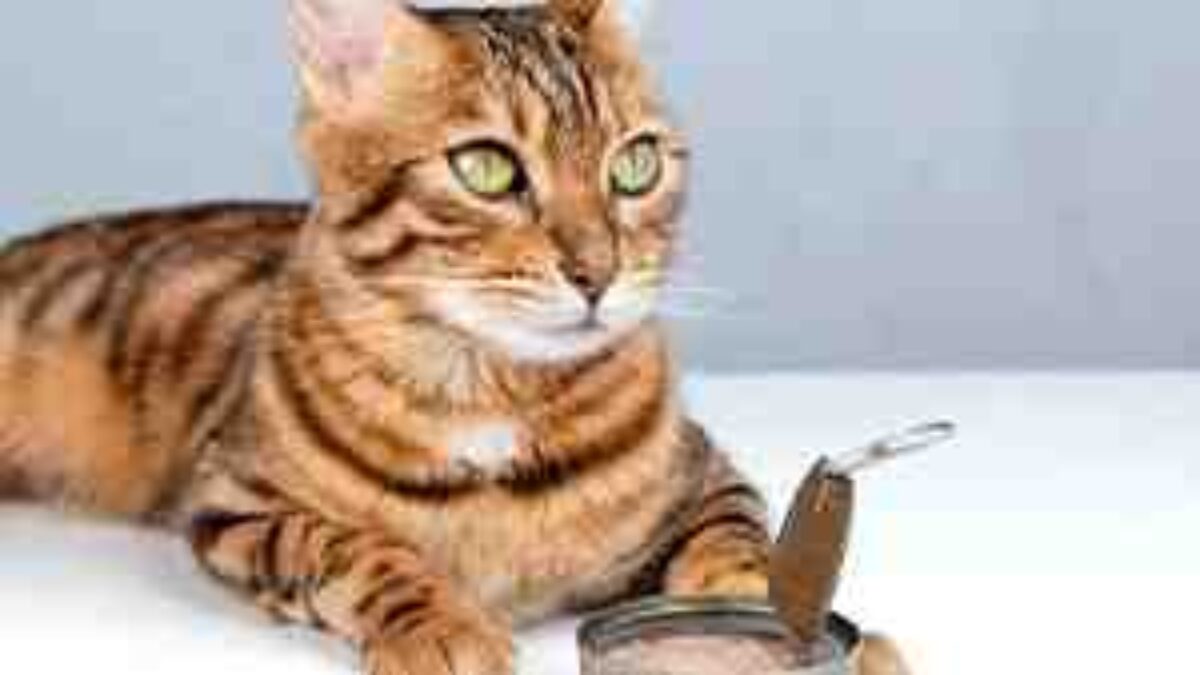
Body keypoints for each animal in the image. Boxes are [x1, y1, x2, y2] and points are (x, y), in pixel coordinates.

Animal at [0, 1, 906, 674]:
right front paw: (441, 623)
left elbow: (746, 560)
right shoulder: (235, 500)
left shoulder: (709, 477)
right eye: (487, 169)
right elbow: (351, 544)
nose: (598, 271)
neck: (495, 396)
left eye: (635, 166)